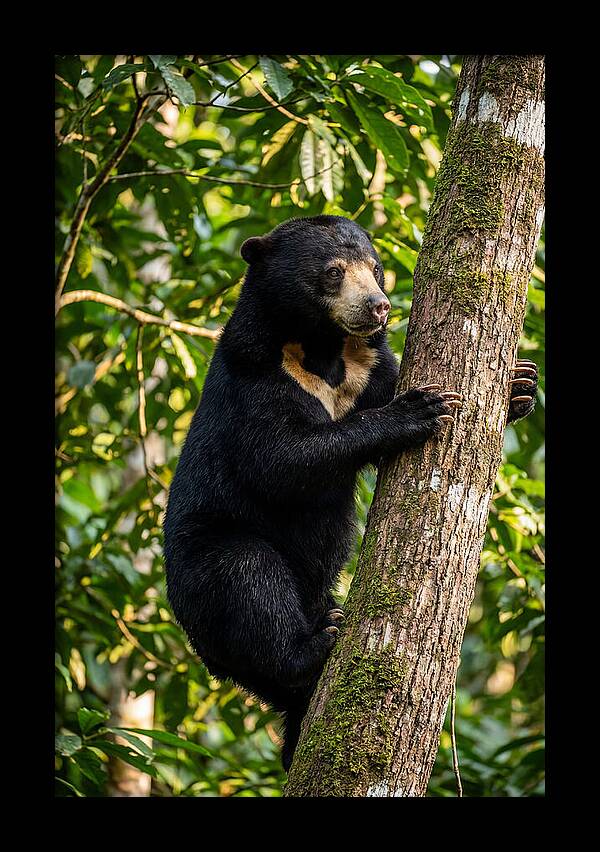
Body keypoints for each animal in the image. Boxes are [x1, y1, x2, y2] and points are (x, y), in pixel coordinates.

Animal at [163, 214, 538, 772]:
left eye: (377, 269)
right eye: (334, 272)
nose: (379, 306)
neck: (322, 349)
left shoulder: (368, 366)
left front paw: (519, 385)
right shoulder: (255, 375)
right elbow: (280, 460)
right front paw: (419, 409)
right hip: (204, 566)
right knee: (247, 578)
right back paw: (318, 643)